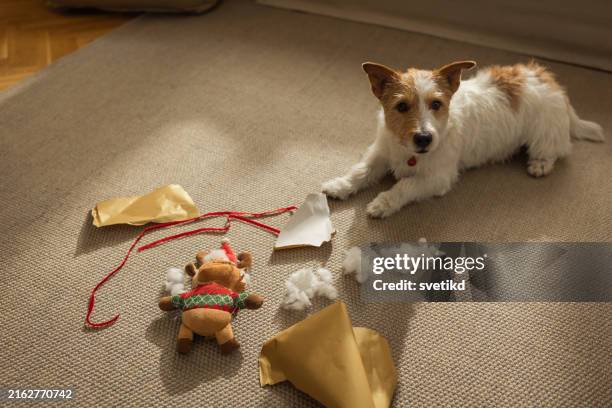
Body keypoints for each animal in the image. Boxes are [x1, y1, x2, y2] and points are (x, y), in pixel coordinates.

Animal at [322, 59, 604, 217]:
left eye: (436, 104)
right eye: (401, 106)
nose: (423, 138)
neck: (409, 153)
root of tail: (548, 79)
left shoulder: (438, 178)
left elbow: (405, 186)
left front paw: (382, 203)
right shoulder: (381, 152)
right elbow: (360, 171)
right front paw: (339, 185)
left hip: (544, 133)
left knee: (555, 149)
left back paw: (540, 164)